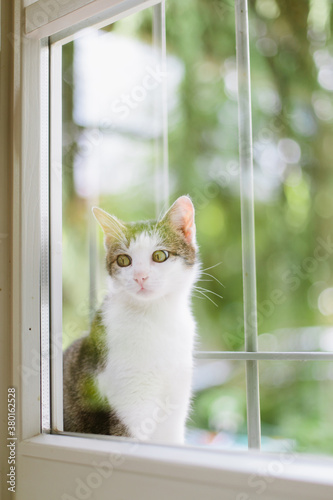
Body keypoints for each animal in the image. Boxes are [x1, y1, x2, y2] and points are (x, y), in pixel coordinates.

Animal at [63, 195, 201, 446]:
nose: (140, 277)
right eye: (123, 260)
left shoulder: (177, 396)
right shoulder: (129, 401)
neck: (155, 317)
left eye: (159, 256)